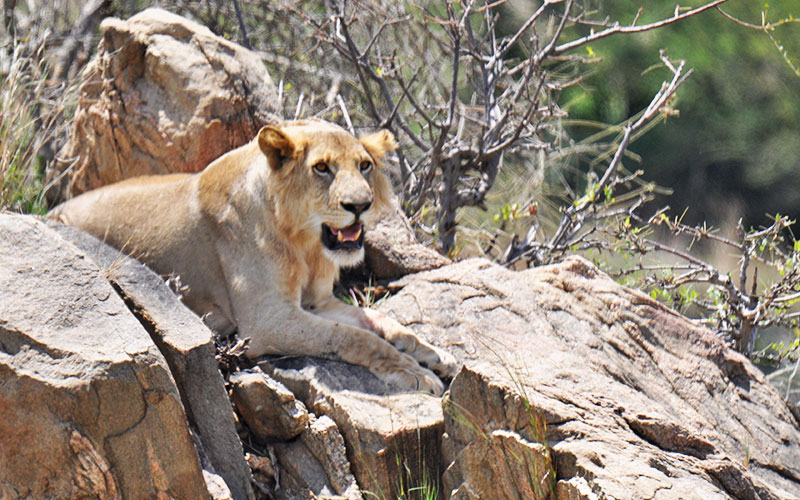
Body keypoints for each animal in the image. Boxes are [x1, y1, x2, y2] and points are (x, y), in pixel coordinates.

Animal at [51, 120, 456, 394]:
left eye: (364, 165)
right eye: (322, 167)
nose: (360, 205)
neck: (305, 244)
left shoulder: (318, 302)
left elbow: (381, 321)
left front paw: (434, 354)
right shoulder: (266, 323)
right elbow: (355, 338)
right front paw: (414, 372)